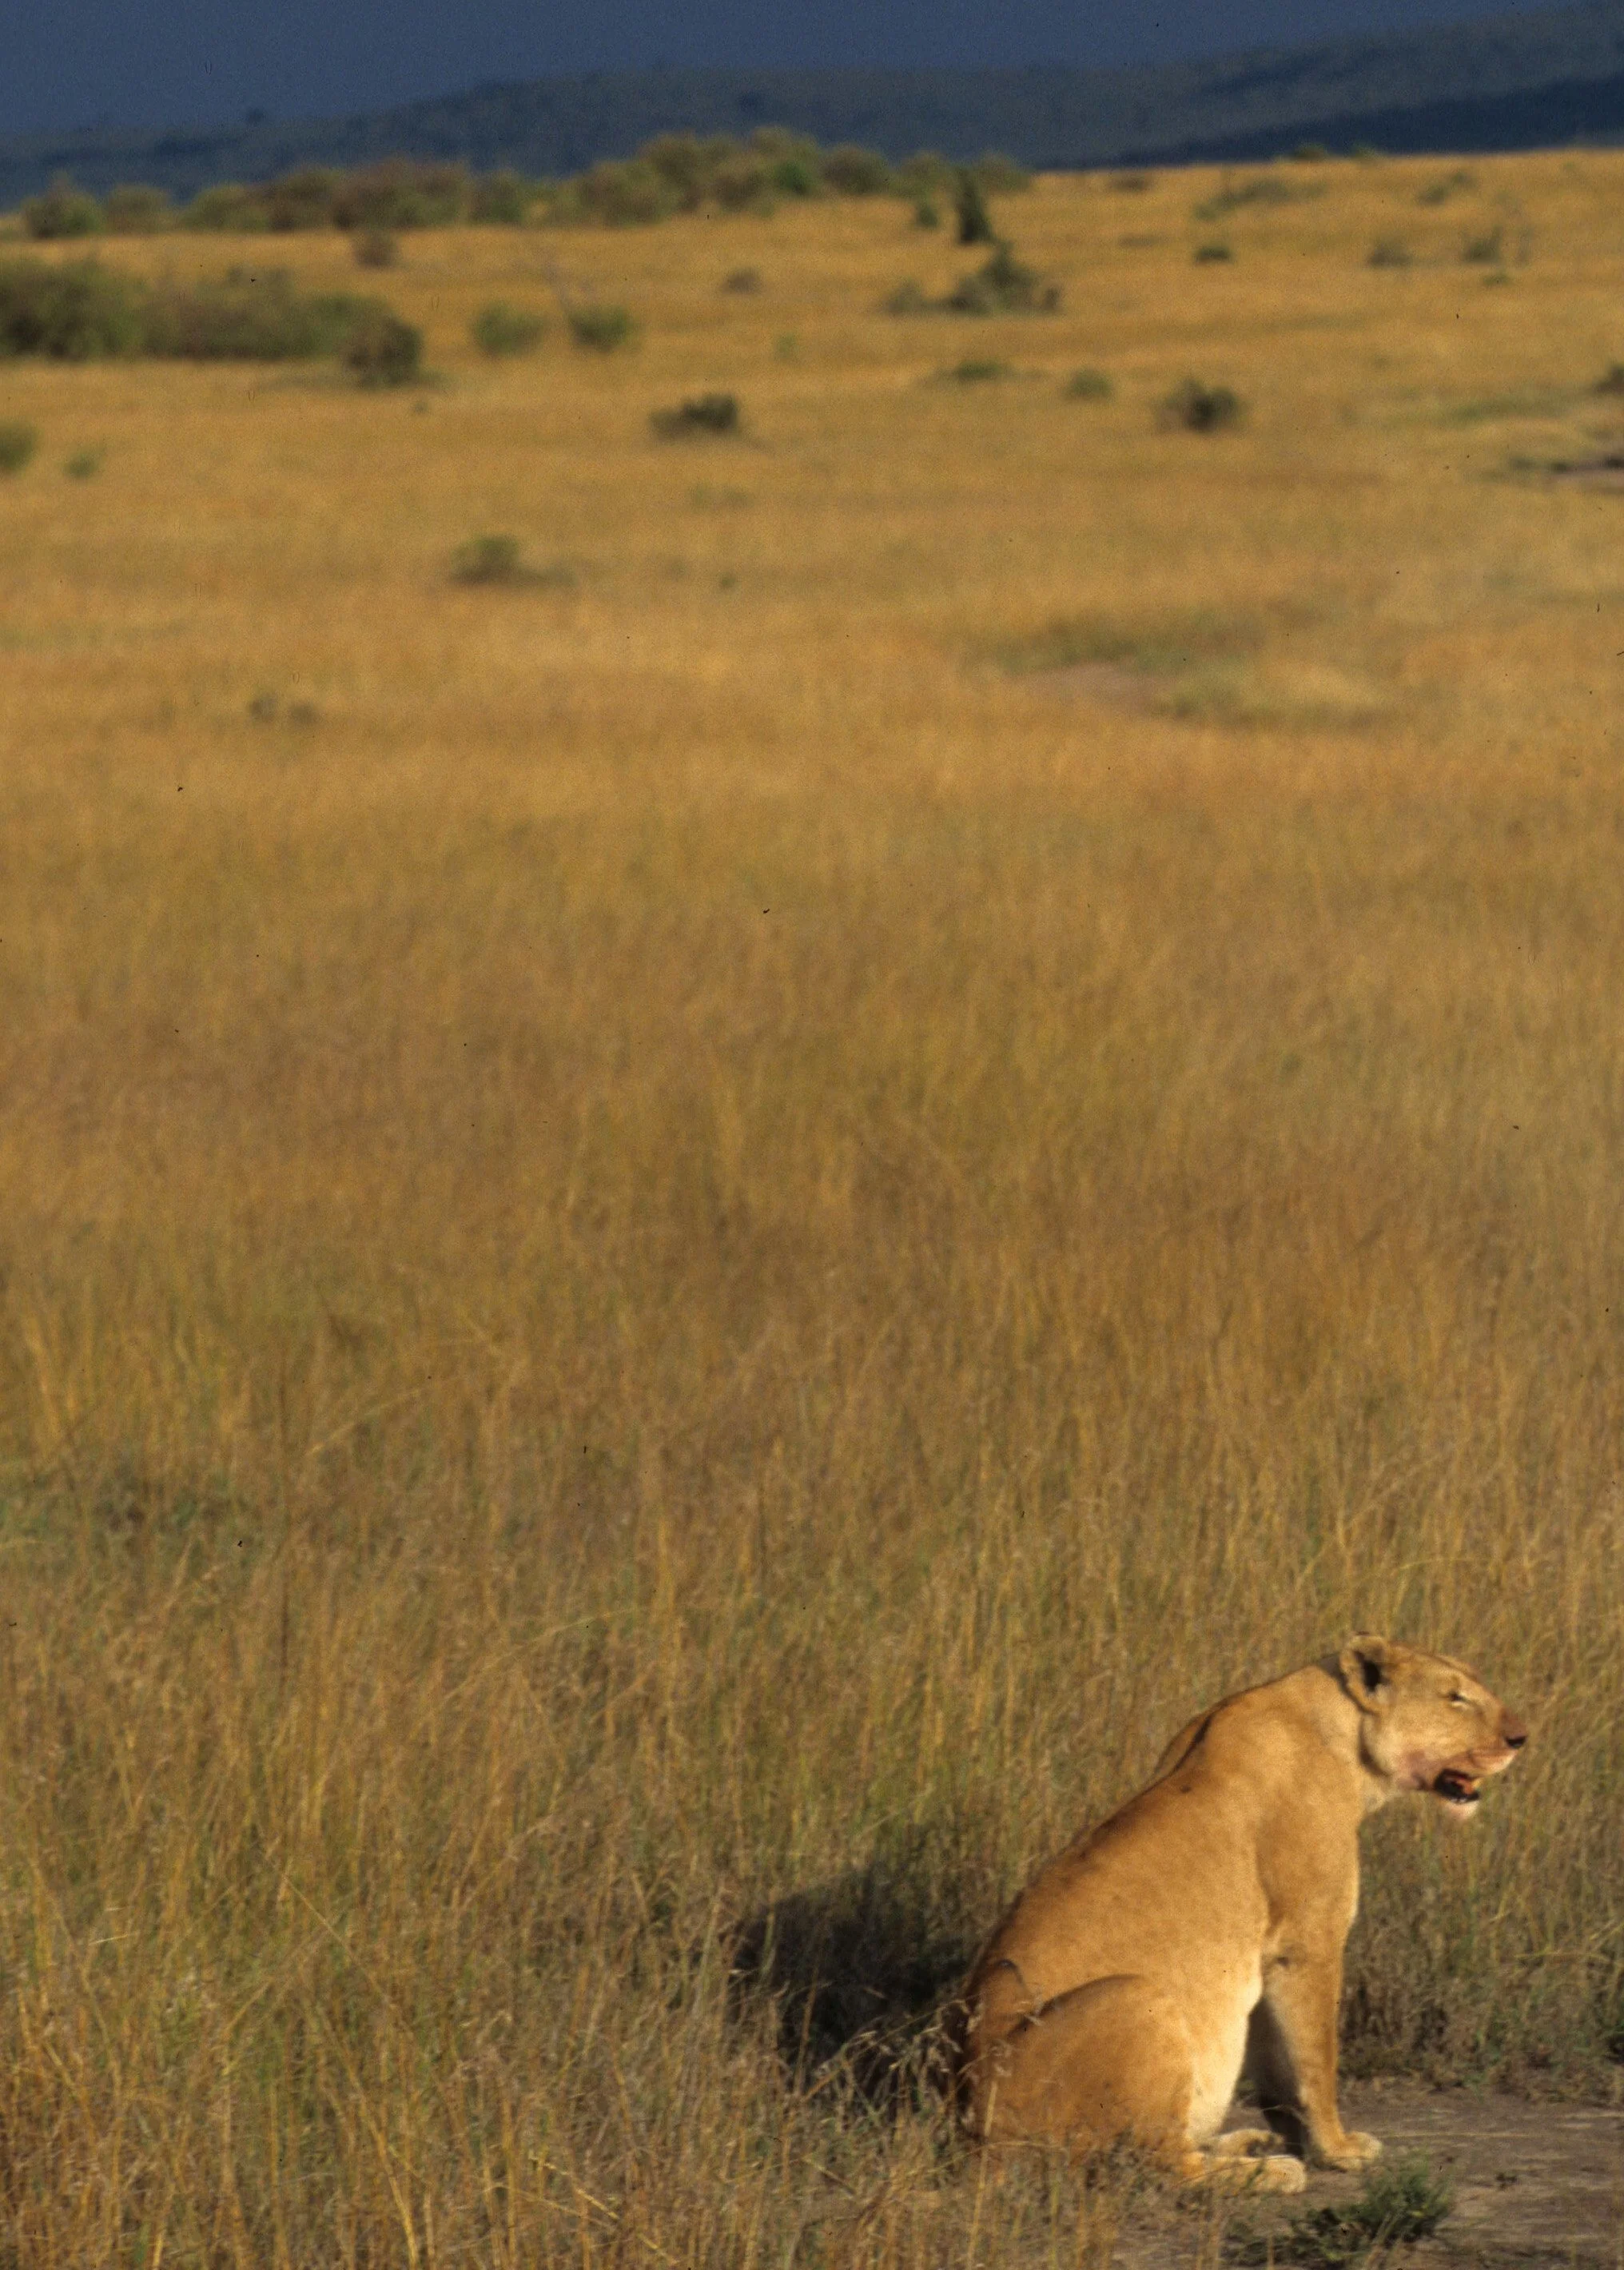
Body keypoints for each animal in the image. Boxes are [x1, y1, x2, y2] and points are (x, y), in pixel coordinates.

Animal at [951, 1635, 1526, 2193]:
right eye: (1455, 1698)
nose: (1521, 1737)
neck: (1343, 1736)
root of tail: (971, 2139)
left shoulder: (1272, 1958)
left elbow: (1279, 2073)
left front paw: (1297, 2136)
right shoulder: (1309, 1942)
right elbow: (1316, 2061)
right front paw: (1336, 2151)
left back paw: (1247, 2143)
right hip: (1137, 1998)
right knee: (1165, 2166)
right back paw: (1270, 2172)